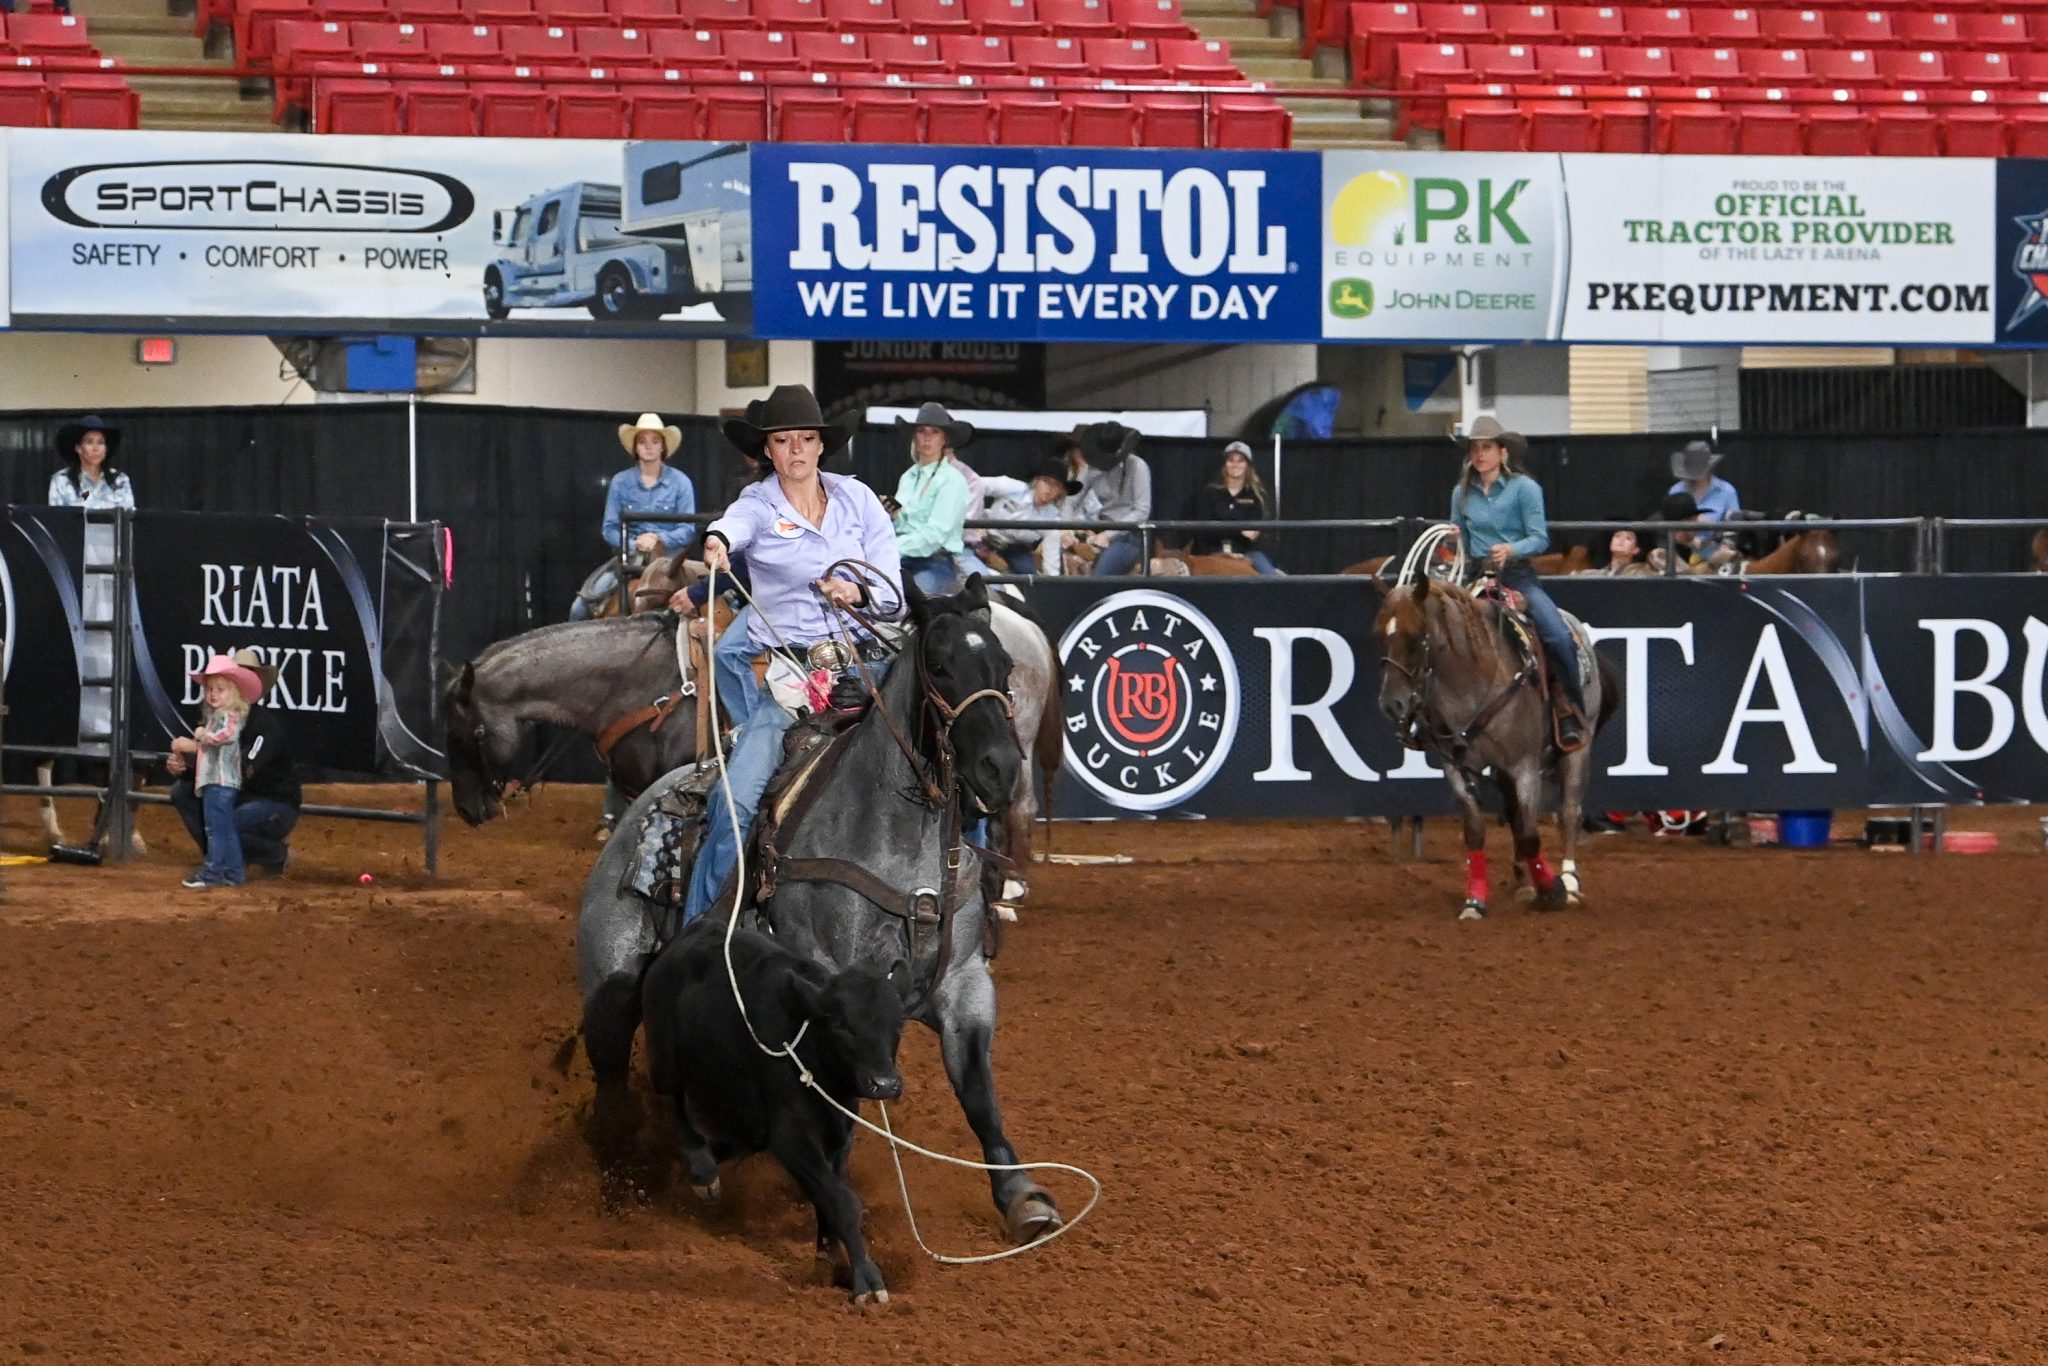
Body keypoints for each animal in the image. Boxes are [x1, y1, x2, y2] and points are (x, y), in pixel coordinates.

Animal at [569, 581, 1064, 1253]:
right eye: (939, 667)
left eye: (1005, 667)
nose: (1001, 769)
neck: (896, 841)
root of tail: (640, 811)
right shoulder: (824, 990)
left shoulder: (964, 985)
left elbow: (979, 1093)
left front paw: (1023, 1197)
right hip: (612, 990)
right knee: (614, 1085)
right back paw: (627, 1185)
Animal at [1376, 577, 1613, 917]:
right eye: (1380, 635)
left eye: (1415, 636)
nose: (1391, 704)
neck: (1470, 687)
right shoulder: (1457, 768)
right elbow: (1476, 833)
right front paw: (1475, 901)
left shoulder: (1524, 765)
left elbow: (1530, 835)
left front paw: (1551, 891)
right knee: (1514, 814)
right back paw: (1522, 877)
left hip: (1578, 748)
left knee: (1569, 811)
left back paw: (1568, 880)